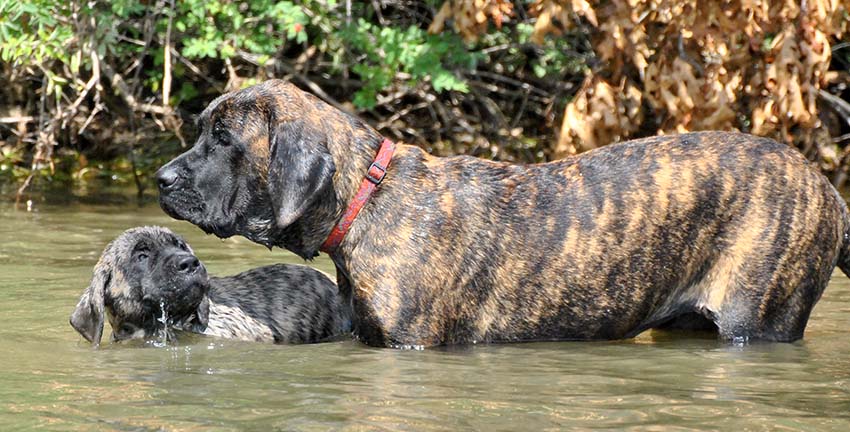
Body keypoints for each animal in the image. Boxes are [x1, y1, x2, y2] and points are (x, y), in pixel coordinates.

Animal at [156, 78, 848, 348]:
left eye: (224, 139)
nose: (162, 180)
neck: (369, 199)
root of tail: (829, 189)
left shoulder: (412, 342)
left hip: (757, 318)